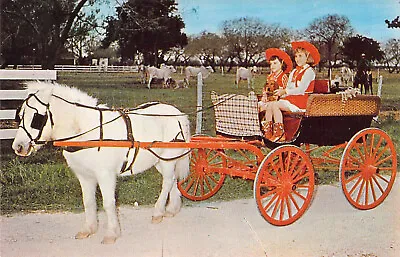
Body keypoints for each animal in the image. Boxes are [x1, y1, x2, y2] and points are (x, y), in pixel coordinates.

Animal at [13, 81, 191, 243]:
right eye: (20, 116)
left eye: (36, 118)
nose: (18, 146)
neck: (87, 133)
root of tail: (178, 114)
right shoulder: (84, 176)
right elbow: (89, 202)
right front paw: (88, 229)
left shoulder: (106, 175)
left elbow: (108, 203)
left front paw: (112, 234)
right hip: (160, 160)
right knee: (173, 180)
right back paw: (172, 209)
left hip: (167, 158)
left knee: (167, 182)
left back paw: (158, 212)